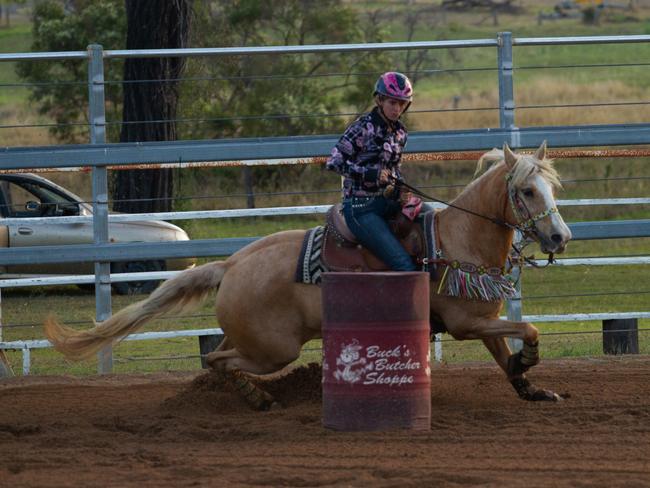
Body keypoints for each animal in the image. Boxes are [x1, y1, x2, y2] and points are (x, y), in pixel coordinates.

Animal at [45, 142, 568, 408]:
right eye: (527, 191)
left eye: (552, 188)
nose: (560, 237)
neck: (458, 239)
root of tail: (231, 264)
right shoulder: (465, 324)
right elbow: (528, 328)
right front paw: (530, 361)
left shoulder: (482, 321)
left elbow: (507, 354)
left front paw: (531, 385)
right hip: (273, 349)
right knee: (218, 360)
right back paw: (258, 399)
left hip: (258, 341)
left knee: (216, 358)